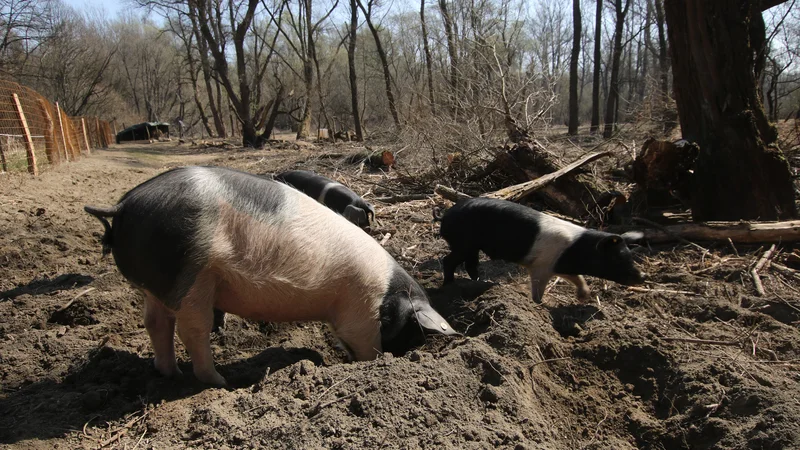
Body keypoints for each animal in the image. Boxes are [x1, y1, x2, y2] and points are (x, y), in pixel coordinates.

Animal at [85, 167, 456, 384]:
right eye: (413, 330)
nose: (408, 356)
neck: (388, 297)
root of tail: (122, 206)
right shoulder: (360, 313)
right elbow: (365, 345)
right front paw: (372, 366)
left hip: (160, 284)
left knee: (156, 323)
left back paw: (170, 373)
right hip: (193, 278)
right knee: (193, 331)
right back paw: (219, 382)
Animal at [434, 198, 648, 300]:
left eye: (630, 256)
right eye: (618, 258)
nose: (643, 276)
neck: (576, 250)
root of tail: (446, 215)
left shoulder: (558, 265)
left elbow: (577, 278)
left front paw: (583, 297)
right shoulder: (541, 266)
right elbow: (538, 288)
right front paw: (538, 304)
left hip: (472, 247)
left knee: (471, 264)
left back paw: (480, 282)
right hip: (464, 243)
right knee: (449, 261)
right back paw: (449, 285)